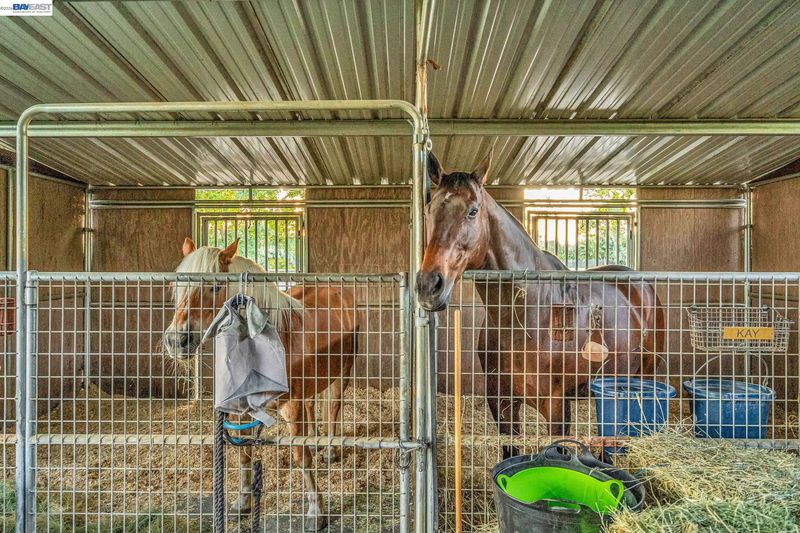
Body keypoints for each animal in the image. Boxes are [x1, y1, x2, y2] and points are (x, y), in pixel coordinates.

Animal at [162, 237, 357, 531]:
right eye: (176, 287)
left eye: (215, 287)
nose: (177, 341)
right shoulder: (239, 409)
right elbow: (243, 453)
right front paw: (242, 503)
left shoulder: (291, 406)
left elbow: (301, 458)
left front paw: (316, 512)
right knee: (313, 406)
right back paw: (316, 442)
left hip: (342, 371)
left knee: (333, 408)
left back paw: (331, 451)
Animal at [416, 151, 664, 457]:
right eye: (429, 210)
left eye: (473, 211)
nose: (429, 286)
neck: (525, 316)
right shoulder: (502, 403)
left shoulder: (556, 406)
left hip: (643, 377)